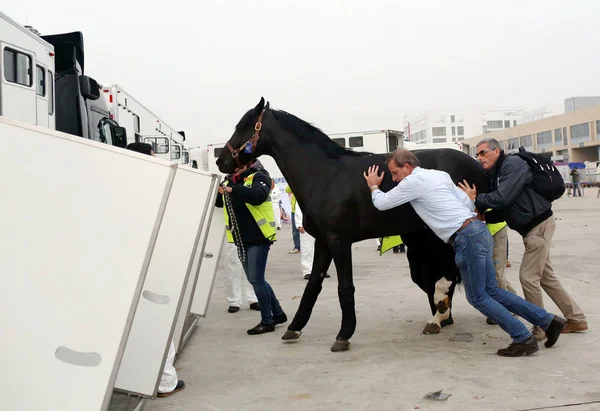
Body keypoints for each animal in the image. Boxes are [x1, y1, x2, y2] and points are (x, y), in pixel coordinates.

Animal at [216, 98, 488, 352]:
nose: (221, 162)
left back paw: (440, 311)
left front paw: (343, 334)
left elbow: (345, 287)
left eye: (241, 126)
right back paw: (440, 316)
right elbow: (313, 286)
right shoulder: (323, 242)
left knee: (451, 270)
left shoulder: (339, 241)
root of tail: (477, 167)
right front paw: (294, 327)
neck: (324, 176)